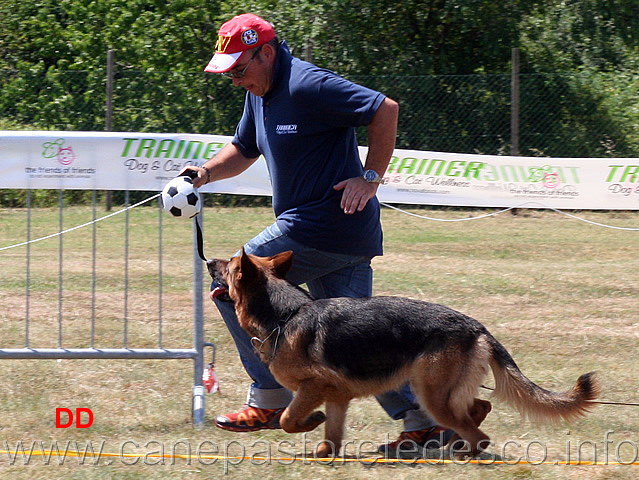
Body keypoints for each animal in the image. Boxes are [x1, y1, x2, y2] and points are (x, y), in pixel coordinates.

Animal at [206, 249, 600, 460]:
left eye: (229, 265)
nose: (208, 260)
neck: (284, 315)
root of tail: (476, 326)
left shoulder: (312, 388)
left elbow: (289, 418)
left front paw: (310, 421)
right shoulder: (337, 397)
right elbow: (332, 434)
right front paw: (324, 452)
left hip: (431, 393)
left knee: (478, 432)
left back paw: (463, 452)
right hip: (443, 392)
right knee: (479, 408)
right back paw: (452, 442)